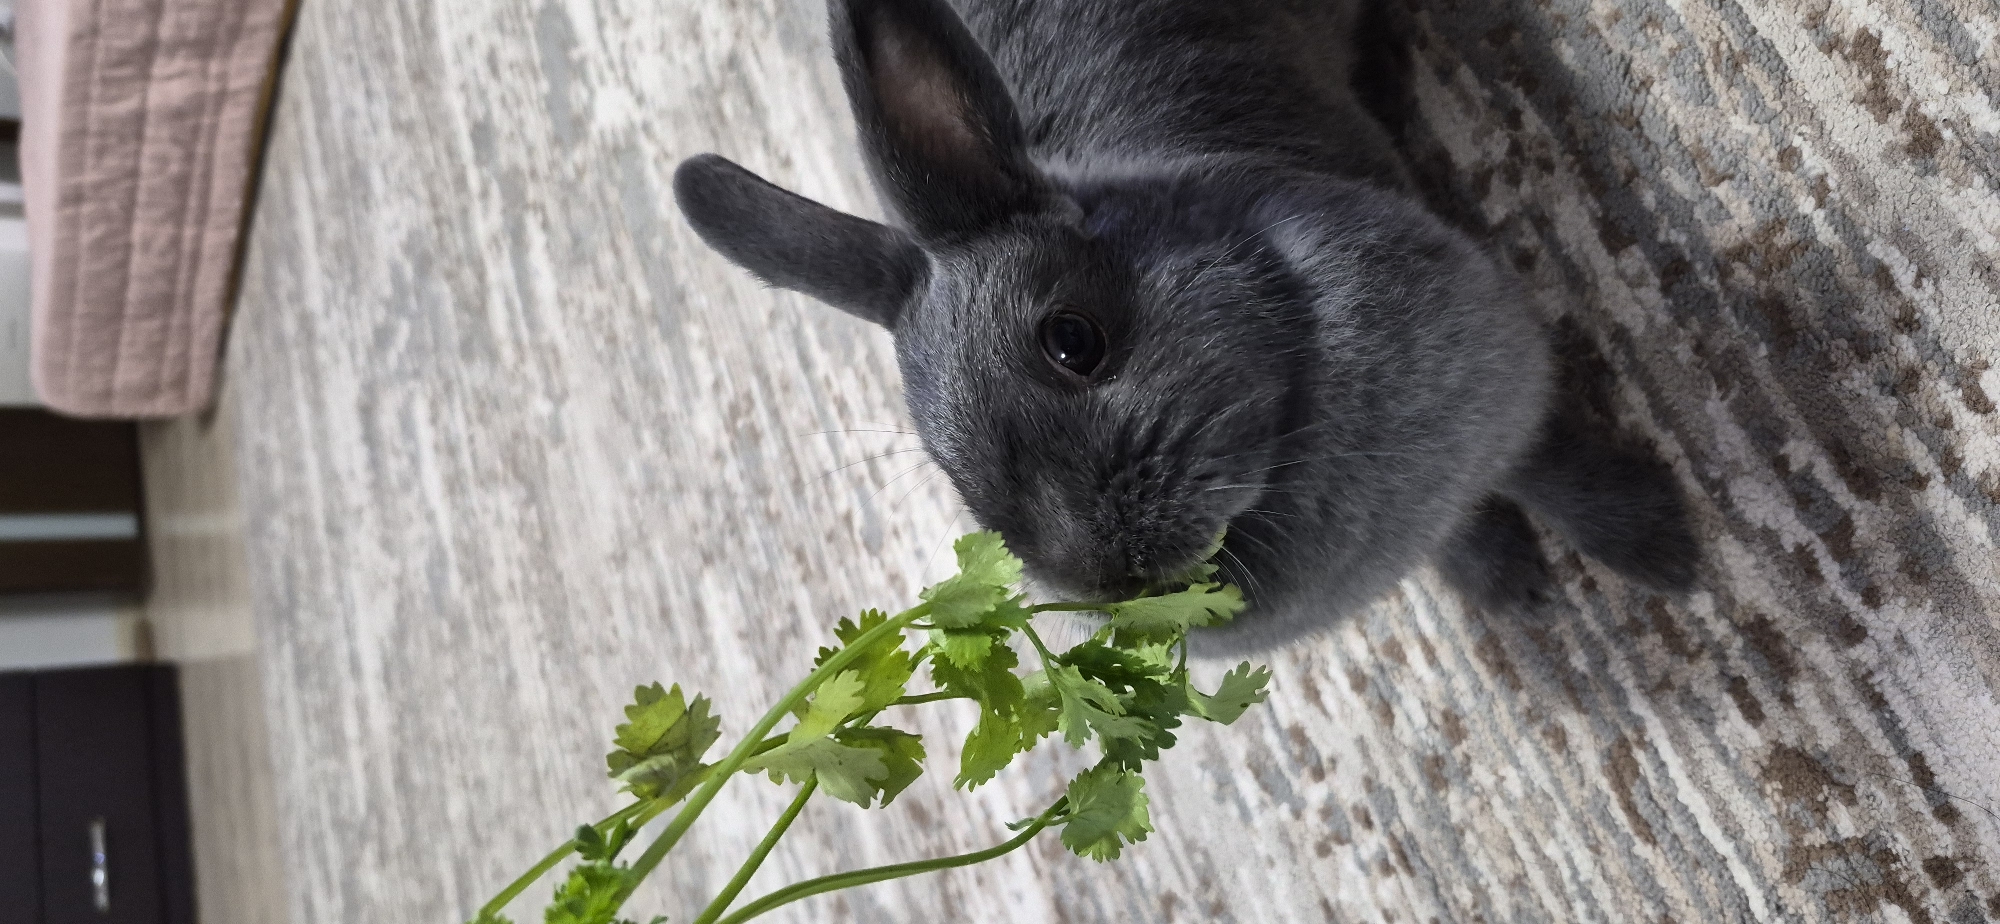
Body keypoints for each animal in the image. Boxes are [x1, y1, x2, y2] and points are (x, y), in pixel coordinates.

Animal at [673, 0, 1699, 652]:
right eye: (950, 473)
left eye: (1074, 341)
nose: (1108, 578)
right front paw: (1506, 583)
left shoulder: (1500, 376)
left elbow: (1546, 464)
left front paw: (1664, 551)